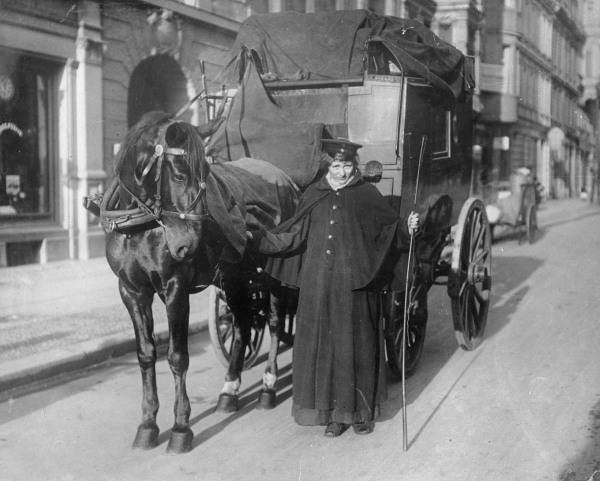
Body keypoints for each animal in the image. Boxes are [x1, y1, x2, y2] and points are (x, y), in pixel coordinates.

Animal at [101, 111, 300, 454]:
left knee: (274, 323)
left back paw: (268, 386)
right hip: (234, 276)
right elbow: (146, 354)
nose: (188, 245)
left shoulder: (176, 288)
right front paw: (148, 424)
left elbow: (178, 357)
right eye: (180, 175)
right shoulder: (131, 291)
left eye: (207, 172)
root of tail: (283, 178)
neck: (141, 225)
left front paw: (181, 427)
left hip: (272, 273)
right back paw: (229, 390)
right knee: (243, 322)